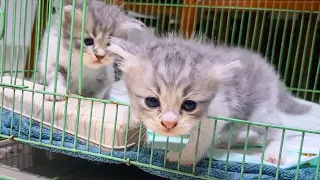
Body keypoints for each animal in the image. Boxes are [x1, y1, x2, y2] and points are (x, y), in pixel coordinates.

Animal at [105, 35, 310, 166]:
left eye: (189, 105)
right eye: (152, 102)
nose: (169, 123)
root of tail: (269, 68)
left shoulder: (217, 112)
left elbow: (199, 140)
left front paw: (183, 159)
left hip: (258, 112)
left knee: (277, 128)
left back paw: (274, 153)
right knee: (235, 127)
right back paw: (225, 142)